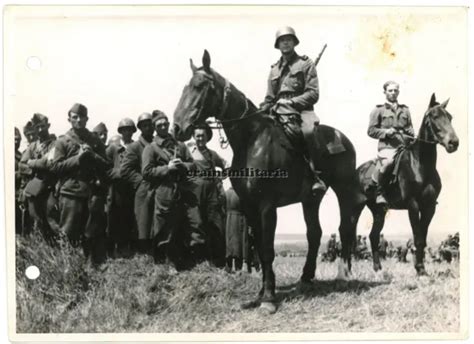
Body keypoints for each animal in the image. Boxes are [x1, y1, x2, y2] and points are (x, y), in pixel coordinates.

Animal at [174, 50, 362, 312]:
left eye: (200, 86)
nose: (177, 128)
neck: (252, 139)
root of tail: (343, 138)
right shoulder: (250, 206)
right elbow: (261, 250)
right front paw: (261, 294)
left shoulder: (266, 206)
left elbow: (267, 250)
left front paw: (269, 298)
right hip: (311, 199)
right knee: (314, 233)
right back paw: (306, 278)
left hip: (342, 189)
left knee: (345, 228)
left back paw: (343, 276)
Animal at [356, 93, 460, 274]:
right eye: (434, 116)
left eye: (450, 117)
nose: (453, 143)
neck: (420, 165)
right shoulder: (413, 205)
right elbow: (417, 238)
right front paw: (419, 269)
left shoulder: (429, 207)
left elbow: (422, 239)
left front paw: (421, 268)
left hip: (379, 211)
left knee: (374, 235)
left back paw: (377, 268)